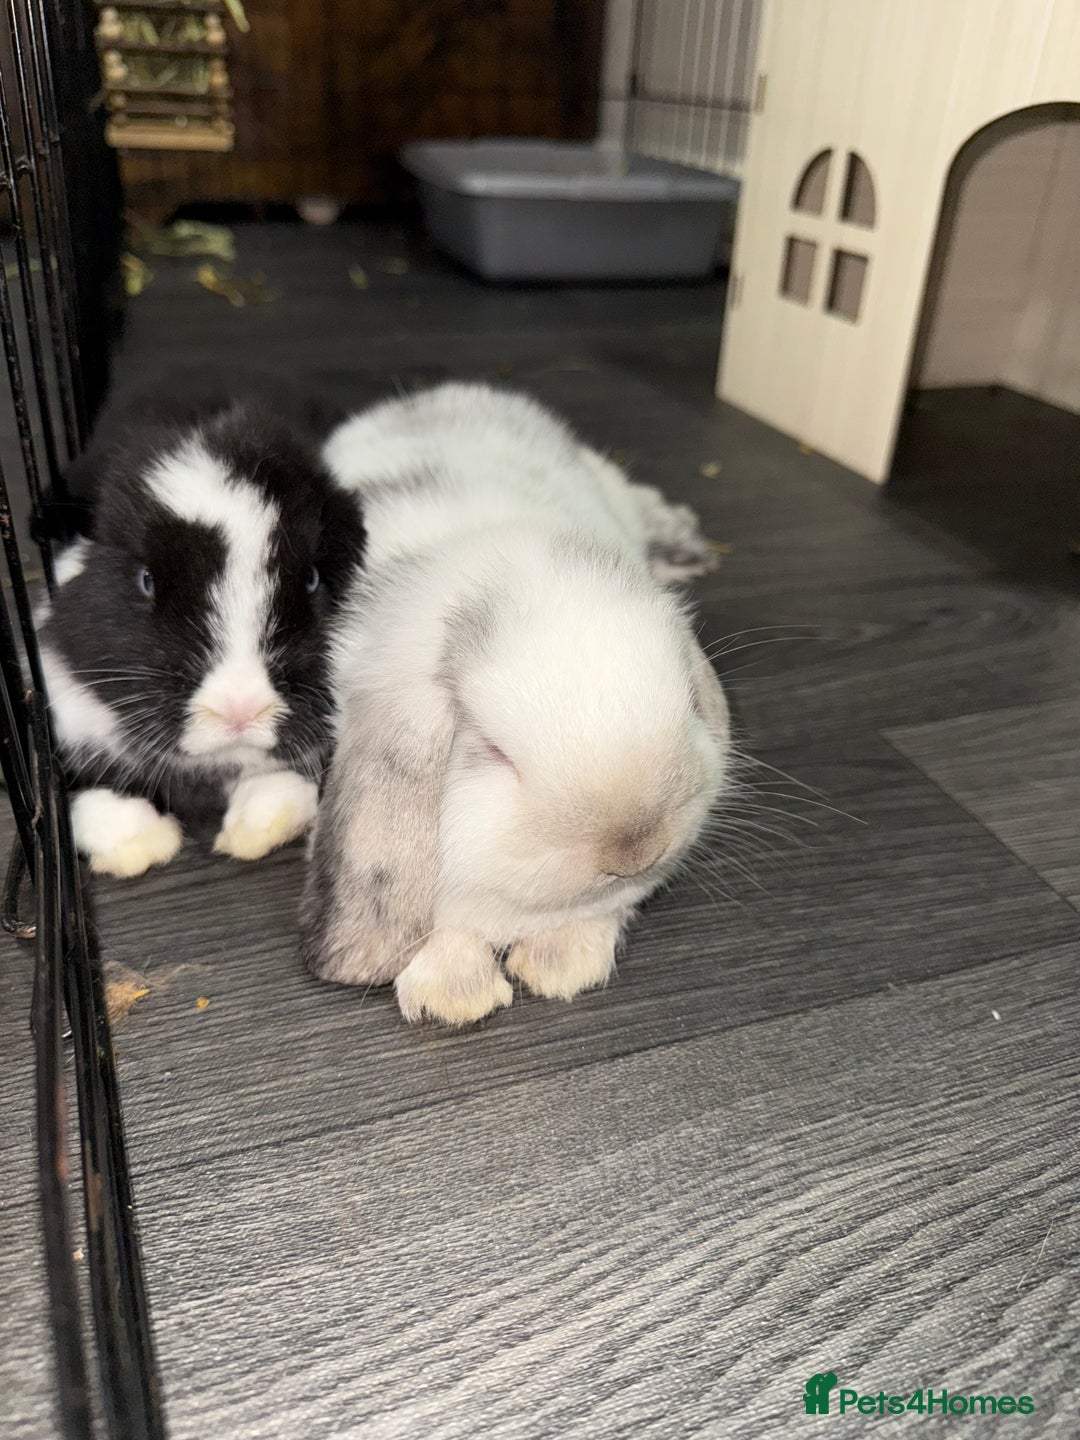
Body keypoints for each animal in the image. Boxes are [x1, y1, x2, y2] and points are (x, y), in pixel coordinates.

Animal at [36, 381, 366, 878]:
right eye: (146, 580)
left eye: (311, 579)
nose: (239, 710)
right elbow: (81, 790)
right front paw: (138, 844)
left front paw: (253, 829)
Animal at [300, 383, 732, 1026]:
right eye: (493, 751)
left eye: (687, 700)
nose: (635, 851)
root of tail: (440, 393)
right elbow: (437, 928)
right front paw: (454, 996)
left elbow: (601, 912)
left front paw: (563, 967)